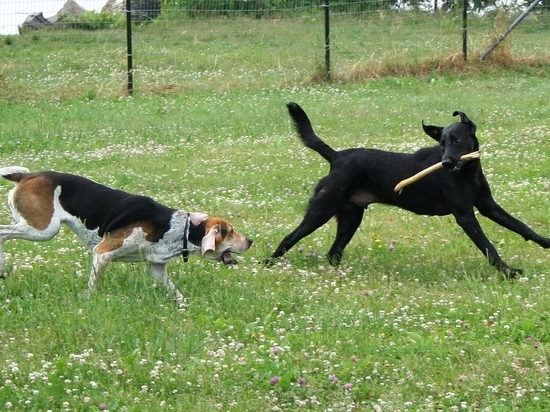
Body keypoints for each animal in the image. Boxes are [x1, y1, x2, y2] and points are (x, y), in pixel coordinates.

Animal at [0, 167, 254, 302]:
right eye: (231, 232)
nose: (250, 241)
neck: (178, 228)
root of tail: (26, 176)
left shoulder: (157, 269)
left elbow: (177, 293)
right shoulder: (102, 253)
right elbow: (94, 285)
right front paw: (89, 300)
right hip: (43, 229)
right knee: (3, 233)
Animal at [268, 102, 550, 276]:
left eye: (457, 139)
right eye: (442, 143)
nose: (446, 163)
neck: (467, 173)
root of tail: (336, 156)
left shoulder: (488, 206)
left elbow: (521, 226)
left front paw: (546, 242)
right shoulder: (465, 215)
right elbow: (488, 246)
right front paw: (508, 271)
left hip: (350, 217)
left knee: (333, 253)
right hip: (322, 209)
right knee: (289, 238)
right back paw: (266, 264)